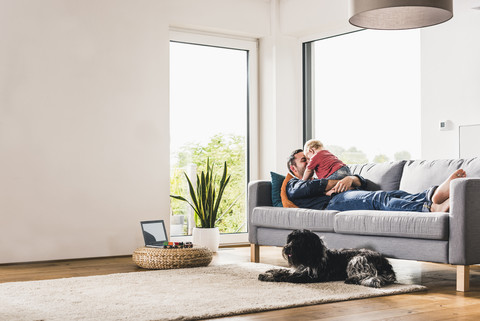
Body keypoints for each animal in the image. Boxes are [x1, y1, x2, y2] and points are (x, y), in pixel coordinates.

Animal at [260, 229, 396, 286]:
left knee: (369, 274)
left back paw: (352, 279)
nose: (287, 248)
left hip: (357, 259)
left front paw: (268, 276)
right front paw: (270, 271)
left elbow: (284, 276)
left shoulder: (308, 277)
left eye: (299, 241)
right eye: (290, 239)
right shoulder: (299, 270)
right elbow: (283, 270)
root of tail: (386, 263)